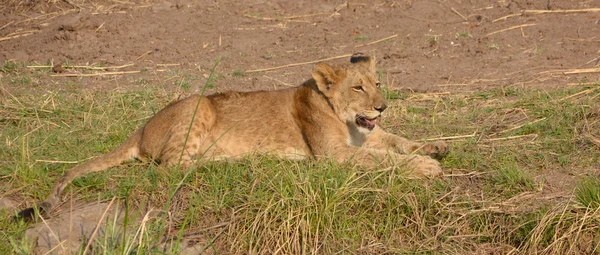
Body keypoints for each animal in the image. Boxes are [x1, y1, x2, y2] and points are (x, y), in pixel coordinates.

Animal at [16, 54, 448, 221]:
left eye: (377, 83)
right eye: (358, 87)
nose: (383, 106)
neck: (350, 122)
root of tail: (140, 128)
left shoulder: (366, 138)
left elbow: (398, 142)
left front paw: (436, 146)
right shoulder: (334, 156)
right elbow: (386, 159)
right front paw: (425, 167)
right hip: (196, 109)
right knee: (169, 169)